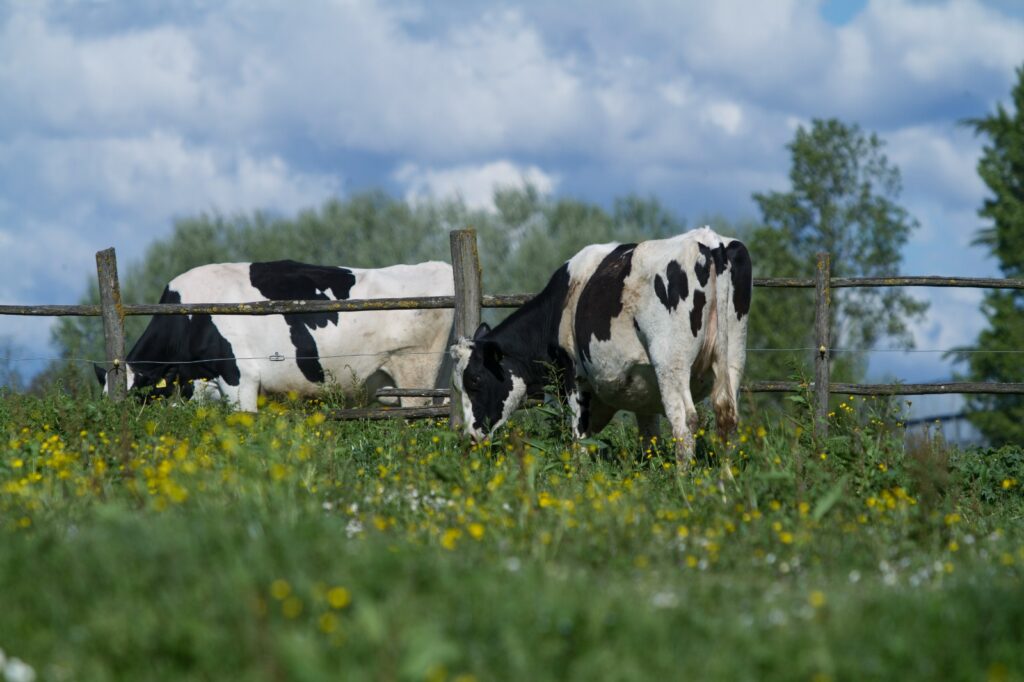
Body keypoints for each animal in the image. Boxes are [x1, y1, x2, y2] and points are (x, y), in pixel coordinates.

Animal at [450, 228, 753, 462]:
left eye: (475, 380)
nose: (471, 436)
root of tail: (710, 241)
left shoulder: (574, 377)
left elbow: (579, 437)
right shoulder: (644, 388)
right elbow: (649, 440)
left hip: (671, 362)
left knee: (685, 423)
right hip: (733, 355)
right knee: (727, 416)